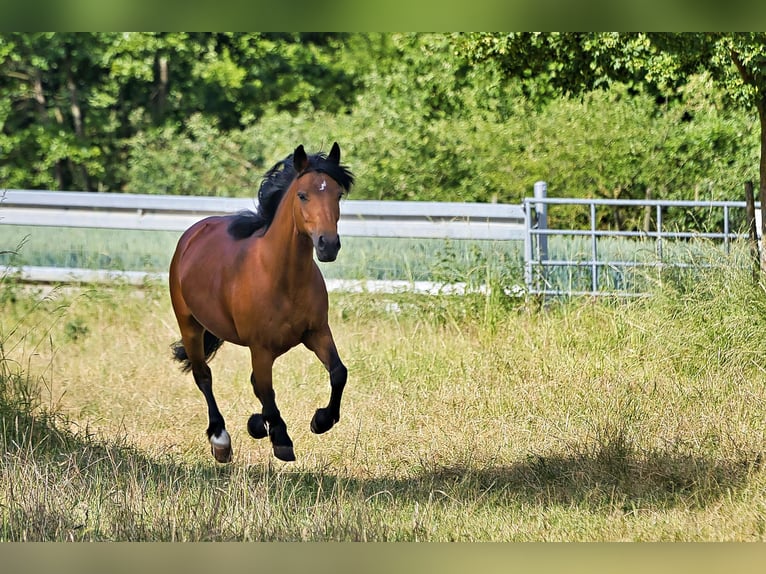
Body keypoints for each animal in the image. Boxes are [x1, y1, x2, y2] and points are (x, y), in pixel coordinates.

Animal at [168, 142, 354, 463]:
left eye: (337, 194)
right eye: (302, 195)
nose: (328, 245)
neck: (282, 277)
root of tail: (193, 235)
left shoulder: (317, 332)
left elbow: (338, 373)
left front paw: (320, 420)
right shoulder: (261, 348)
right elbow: (267, 391)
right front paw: (280, 438)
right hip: (189, 325)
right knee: (204, 376)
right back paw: (221, 439)